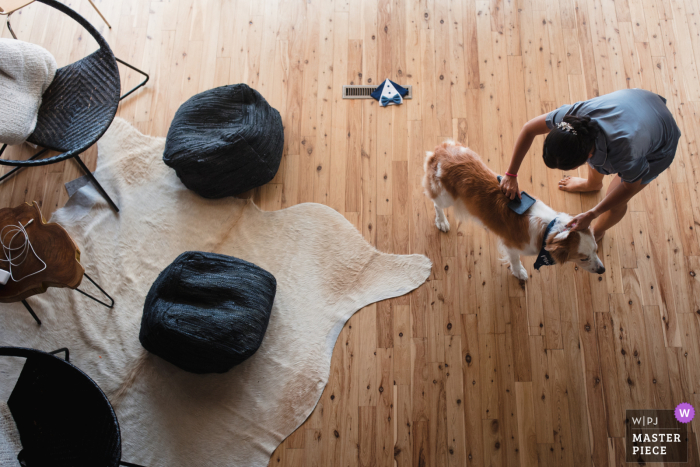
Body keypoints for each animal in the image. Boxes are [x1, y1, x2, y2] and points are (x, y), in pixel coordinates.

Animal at [422, 141, 608, 280]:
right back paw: (442, 222)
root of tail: (440, 151)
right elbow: (515, 260)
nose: (602, 270)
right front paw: (519, 272)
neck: (549, 230)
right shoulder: (510, 245)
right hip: (446, 197)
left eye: (596, 250)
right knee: (435, 203)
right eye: (583, 257)